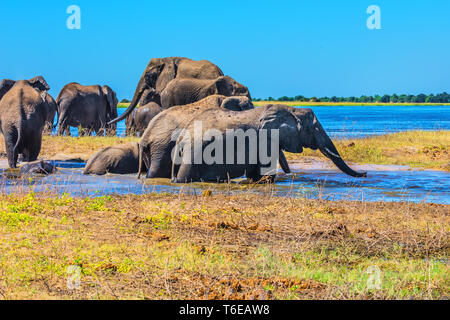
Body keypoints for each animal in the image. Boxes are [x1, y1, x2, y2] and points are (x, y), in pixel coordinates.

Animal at [171, 105, 368, 182]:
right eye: (314, 128)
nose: (365, 174)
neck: (291, 110)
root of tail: (181, 139)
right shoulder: (266, 139)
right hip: (194, 153)